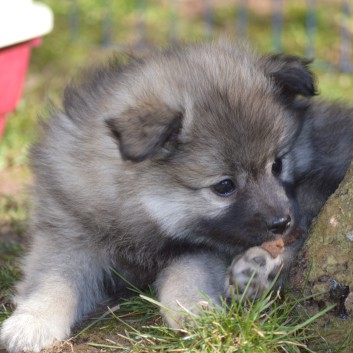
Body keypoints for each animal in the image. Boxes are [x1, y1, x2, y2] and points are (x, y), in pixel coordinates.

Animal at [0, 42, 352, 352]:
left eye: (278, 164)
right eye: (224, 186)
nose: (282, 222)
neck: (140, 216)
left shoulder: (201, 245)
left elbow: (188, 273)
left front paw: (196, 311)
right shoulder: (68, 232)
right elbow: (53, 281)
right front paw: (32, 322)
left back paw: (256, 268)